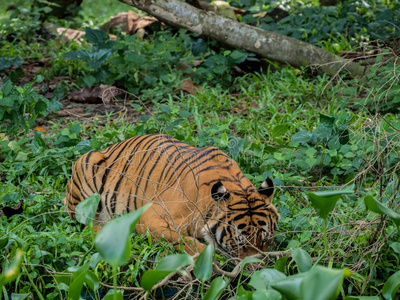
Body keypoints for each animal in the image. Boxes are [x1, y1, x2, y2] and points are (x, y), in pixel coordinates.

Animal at [64, 134, 280, 258]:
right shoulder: (151, 217)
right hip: (87, 165)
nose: (253, 271)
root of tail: (109, 147)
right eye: (238, 244)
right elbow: (183, 240)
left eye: (265, 241)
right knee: (85, 223)